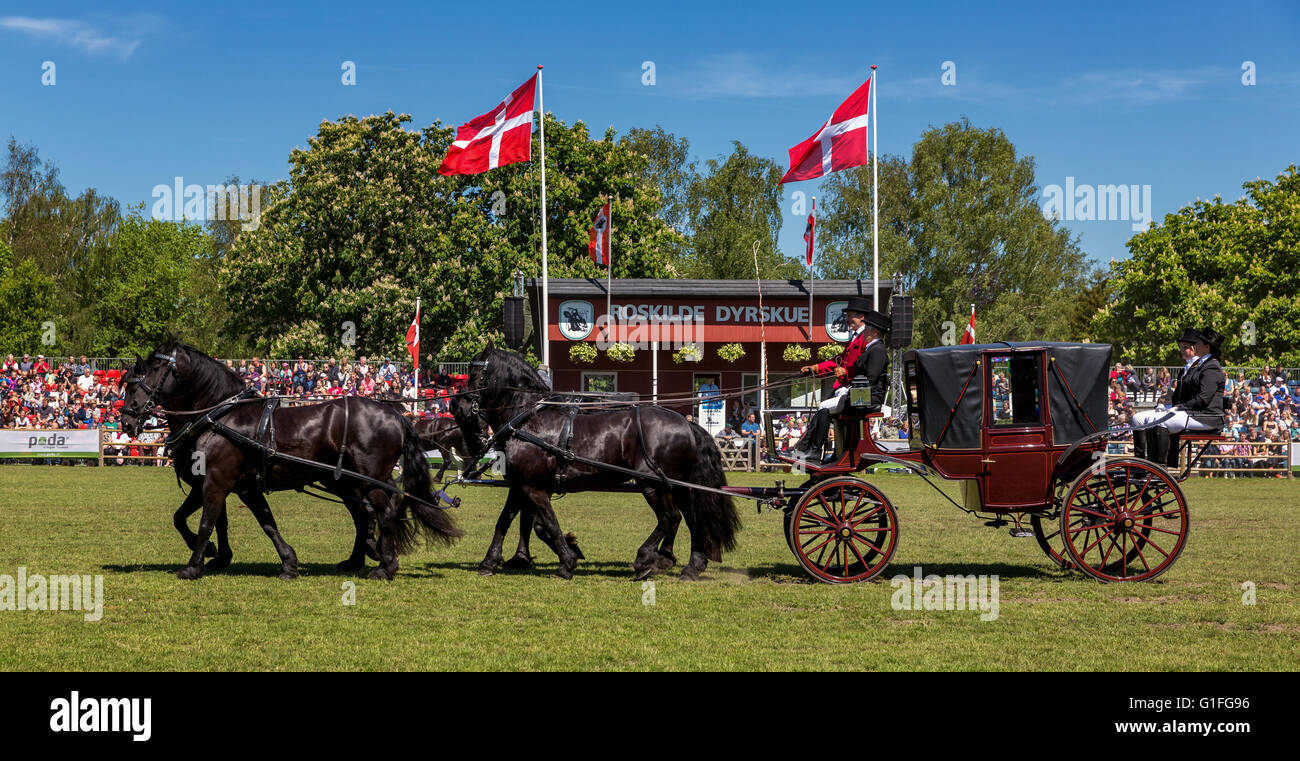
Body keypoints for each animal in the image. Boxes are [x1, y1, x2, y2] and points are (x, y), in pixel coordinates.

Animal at [118, 335, 462, 577]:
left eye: (156, 369)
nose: (128, 419)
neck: (221, 416)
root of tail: (396, 415)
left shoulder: (215, 481)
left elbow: (204, 522)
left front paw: (193, 565)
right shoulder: (234, 485)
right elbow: (254, 522)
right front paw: (281, 561)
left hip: (370, 480)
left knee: (384, 513)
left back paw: (384, 566)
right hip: (347, 483)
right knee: (364, 516)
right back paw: (359, 559)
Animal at [452, 346, 743, 577]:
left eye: (475, 374)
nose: (459, 406)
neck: (529, 418)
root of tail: (687, 423)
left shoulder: (534, 488)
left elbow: (548, 524)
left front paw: (567, 562)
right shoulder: (521, 485)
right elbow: (507, 521)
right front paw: (490, 562)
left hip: (653, 484)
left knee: (670, 518)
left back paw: (645, 560)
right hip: (677, 486)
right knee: (692, 519)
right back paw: (691, 566)